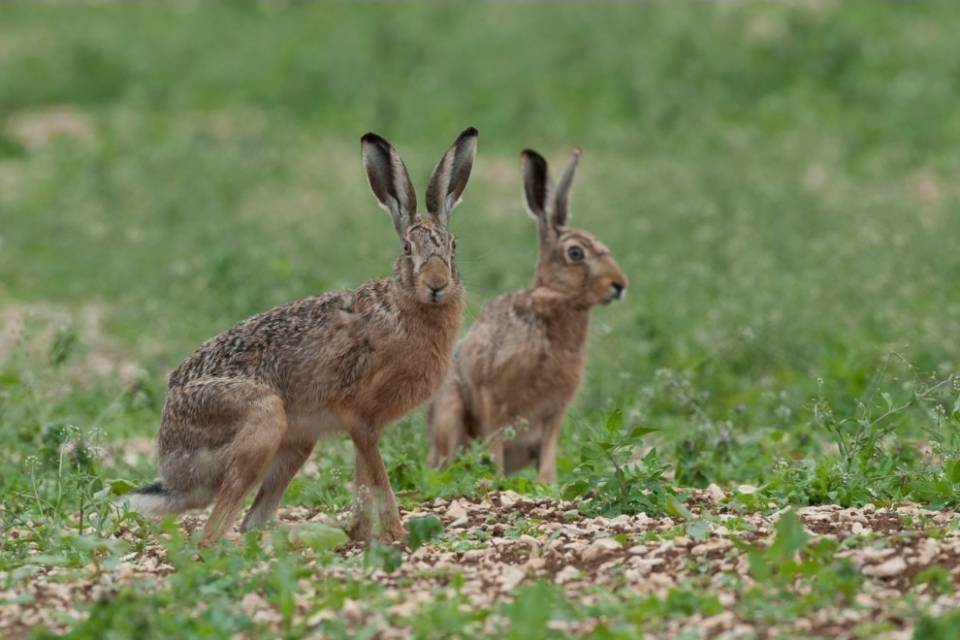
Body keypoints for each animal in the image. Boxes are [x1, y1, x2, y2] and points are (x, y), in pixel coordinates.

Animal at [128, 127, 478, 545]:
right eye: (408, 248)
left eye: (454, 246)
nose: (437, 285)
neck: (404, 304)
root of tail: (172, 469)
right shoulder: (358, 415)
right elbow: (379, 481)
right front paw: (397, 534)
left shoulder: (362, 427)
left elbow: (364, 481)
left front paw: (363, 535)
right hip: (261, 417)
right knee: (213, 533)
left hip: (297, 442)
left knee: (251, 521)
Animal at [426, 147, 626, 484]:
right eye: (575, 253)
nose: (620, 285)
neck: (555, 298)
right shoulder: (493, 398)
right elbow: (494, 443)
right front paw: (496, 479)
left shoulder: (554, 412)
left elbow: (548, 456)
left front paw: (548, 485)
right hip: (451, 409)